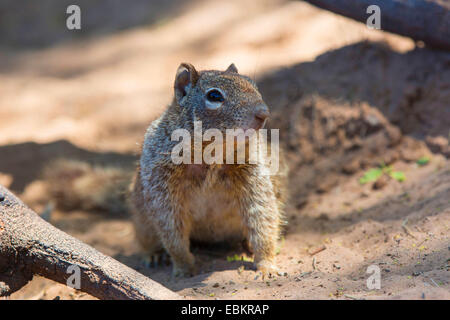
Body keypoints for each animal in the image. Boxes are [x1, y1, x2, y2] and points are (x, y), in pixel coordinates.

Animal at [128, 63, 288, 278]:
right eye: (214, 95)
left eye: (254, 85)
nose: (264, 113)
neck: (212, 152)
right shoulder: (161, 183)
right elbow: (171, 229)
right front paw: (184, 268)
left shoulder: (253, 174)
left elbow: (263, 216)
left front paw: (267, 265)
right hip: (141, 220)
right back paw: (154, 254)